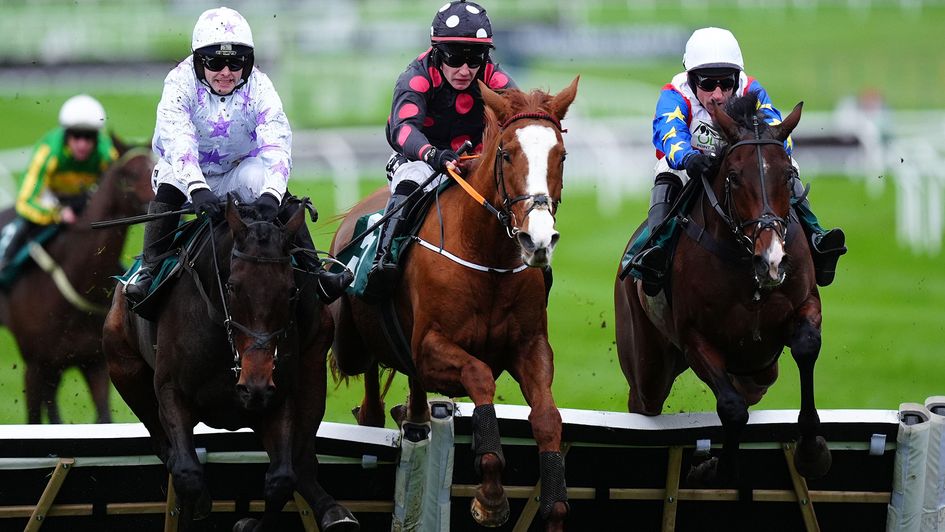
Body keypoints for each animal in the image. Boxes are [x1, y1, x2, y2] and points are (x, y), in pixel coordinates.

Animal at [0, 142, 153, 424]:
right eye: (127, 175)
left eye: (156, 164)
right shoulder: (34, 366)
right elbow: (34, 419)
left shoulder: (94, 363)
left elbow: (103, 417)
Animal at [101, 200, 356, 532]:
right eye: (232, 286)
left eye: (290, 290)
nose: (255, 384)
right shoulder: (170, 392)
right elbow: (187, 473)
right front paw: (197, 504)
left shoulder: (279, 396)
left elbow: (281, 479)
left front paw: (249, 524)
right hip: (126, 371)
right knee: (162, 445)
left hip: (313, 368)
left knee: (302, 460)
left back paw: (334, 511)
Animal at [332, 77, 584, 528]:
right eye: (507, 153)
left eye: (561, 154)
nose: (537, 240)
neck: (487, 259)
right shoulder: (431, 348)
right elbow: (480, 375)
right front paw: (491, 497)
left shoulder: (531, 347)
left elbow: (547, 418)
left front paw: (554, 507)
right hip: (353, 347)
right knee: (370, 400)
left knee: (411, 407)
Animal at [612, 92, 824, 486]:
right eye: (735, 177)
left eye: (788, 175)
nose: (771, 259)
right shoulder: (695, 339)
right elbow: (732, 407)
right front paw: (719, 468)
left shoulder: (806, 303)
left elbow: (805, 346)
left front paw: (812, 451)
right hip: (647, 363)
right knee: (643, 402)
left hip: (758, 367)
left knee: (757, 380)